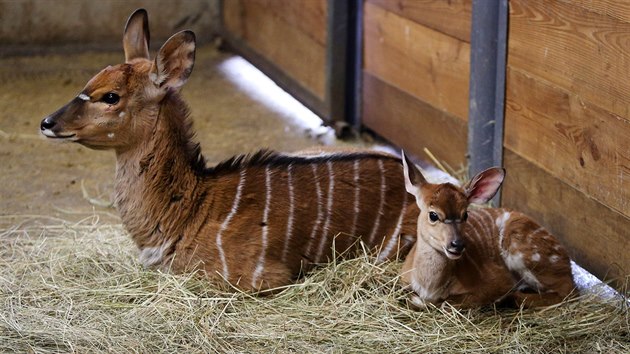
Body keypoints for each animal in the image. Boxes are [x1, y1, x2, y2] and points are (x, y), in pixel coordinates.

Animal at [402, 151, 576, 306]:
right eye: (433, 215)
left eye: (465, 214)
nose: (457, 244)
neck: (429, 288)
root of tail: (566, 261)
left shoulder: (497, 282)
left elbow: (449, 303)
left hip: (523, 251)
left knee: (566, 290)